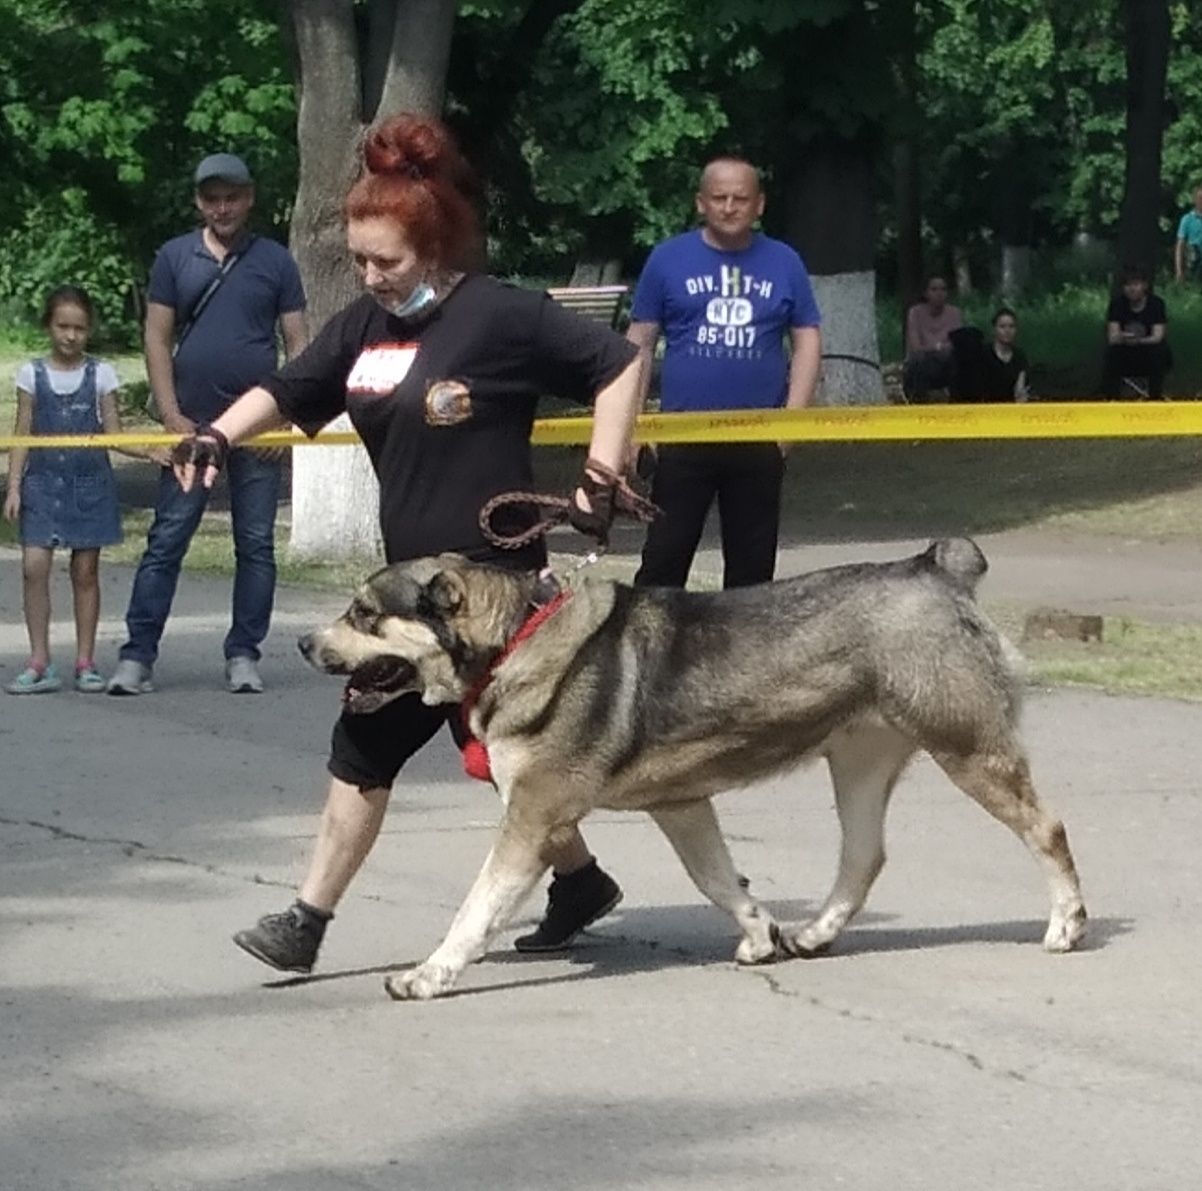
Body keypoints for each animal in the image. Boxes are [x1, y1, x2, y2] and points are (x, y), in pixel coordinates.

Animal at [302, 545, 1091, 999]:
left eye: (364, 613)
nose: (308, 641)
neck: (514, 639)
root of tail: (934, 567)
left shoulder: (531, 816)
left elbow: (476, 908)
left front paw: (429, 975)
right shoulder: (680, 804)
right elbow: (716, 878)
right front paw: (760, 934)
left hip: (968, 751)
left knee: (1046, 827)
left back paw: (1067, 924)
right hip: (858, 763)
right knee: (865, 855)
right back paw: (814, 933)